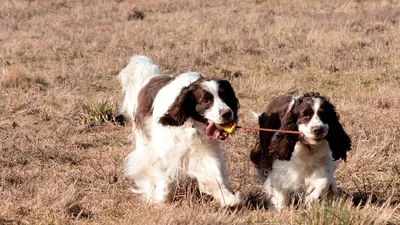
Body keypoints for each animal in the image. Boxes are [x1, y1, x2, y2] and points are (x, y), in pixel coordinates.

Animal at [117, 55, 242, 207]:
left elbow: (214, 174)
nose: (227, 113)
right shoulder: (163, 151)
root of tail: (150, 77)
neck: (190, 125)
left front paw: (228, 198)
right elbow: (162, 175)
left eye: (225, 96)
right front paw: (160, 198)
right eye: (205, 100)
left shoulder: (204, 149)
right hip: (143, 141)